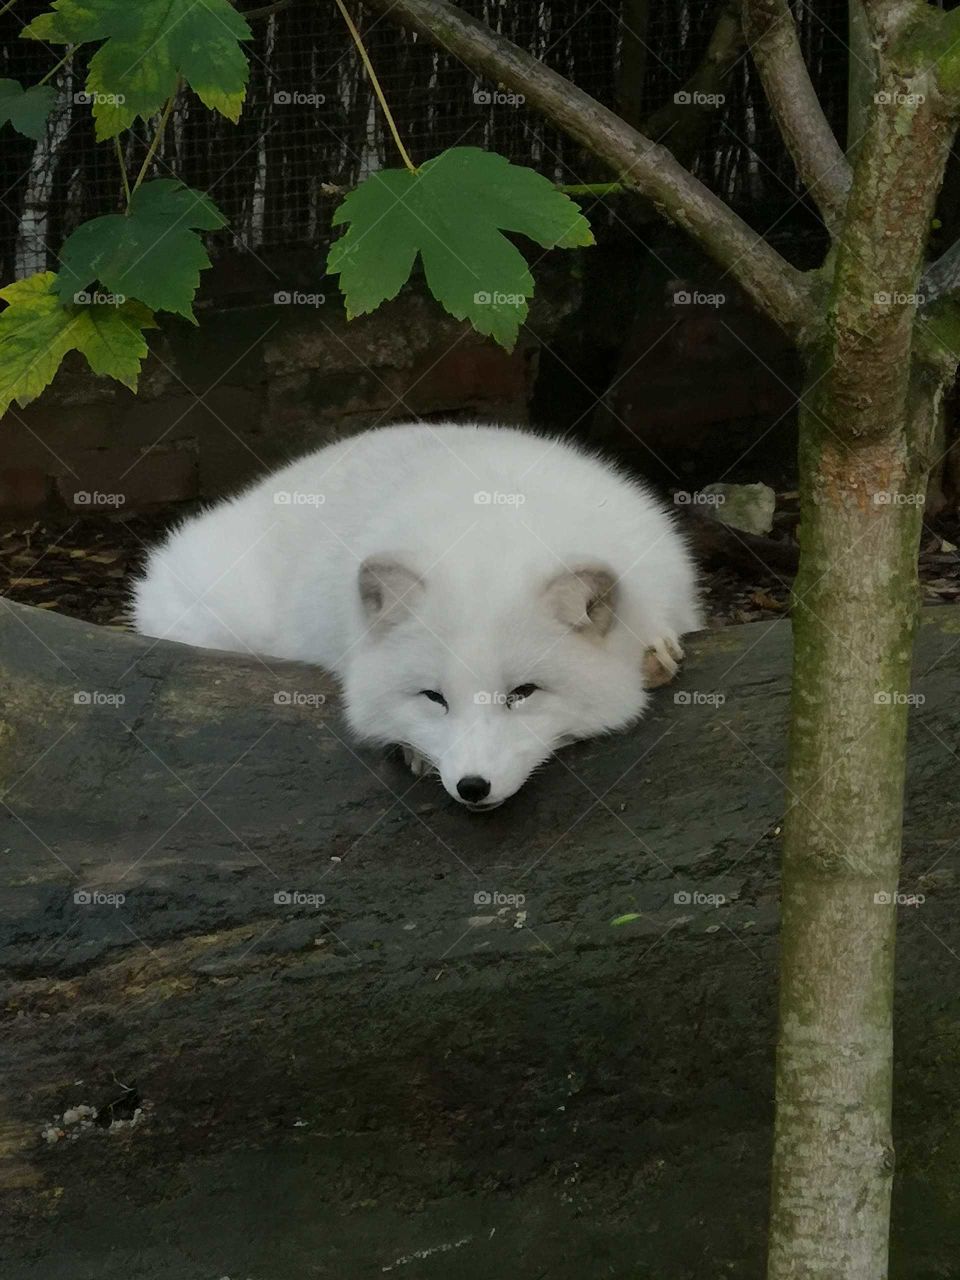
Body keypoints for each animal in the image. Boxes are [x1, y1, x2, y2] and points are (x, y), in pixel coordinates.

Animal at [131, 423, 701, 810]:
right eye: (433, 697)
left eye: (523, 694)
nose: (472, 787)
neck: (491, 528)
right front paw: (418, 752)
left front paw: (654, 649)